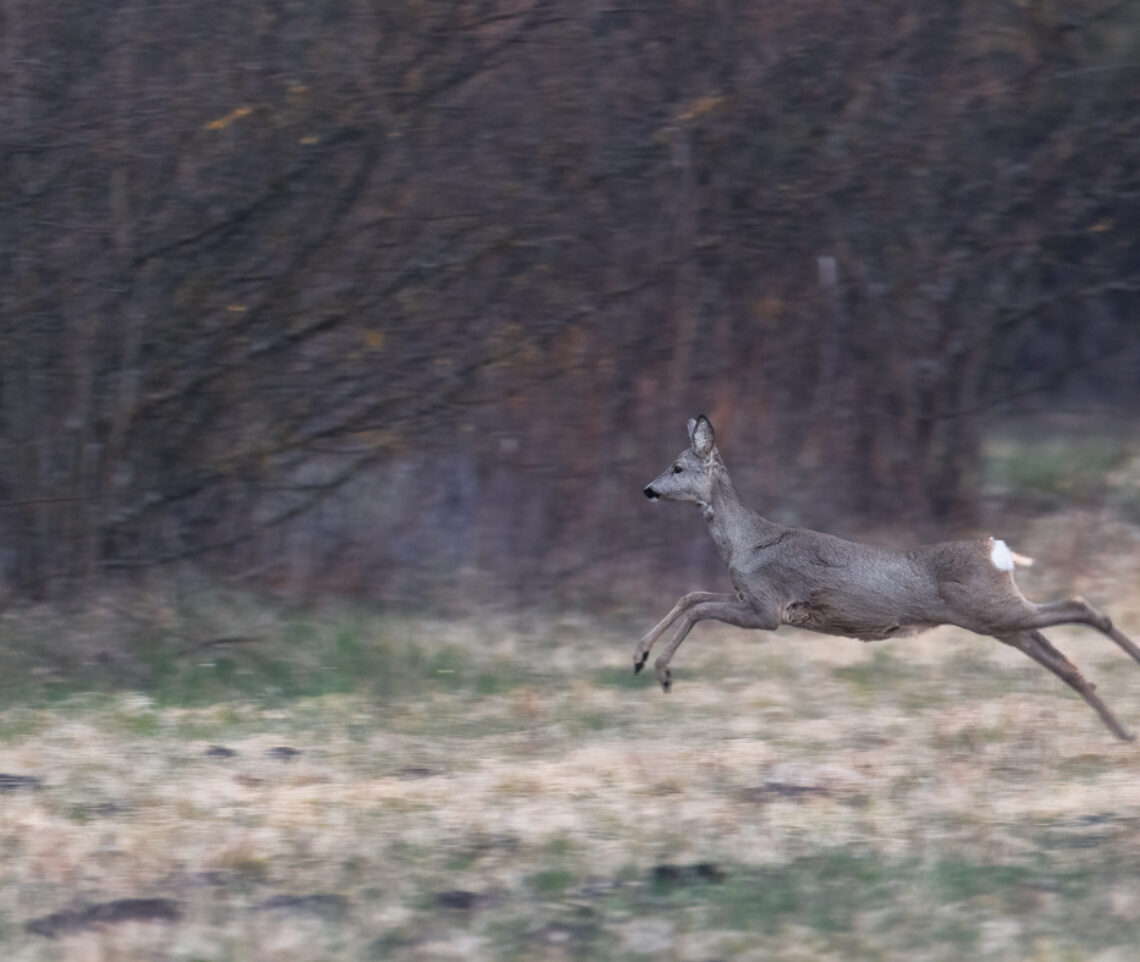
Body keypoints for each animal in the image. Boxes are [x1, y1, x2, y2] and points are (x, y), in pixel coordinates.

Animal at [638, 417, 1140, 738]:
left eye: (677, 468)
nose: (648, 489)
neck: (746, 542)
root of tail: (998, 550)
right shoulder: (748, 599)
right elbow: (691, 596)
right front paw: (641, 657)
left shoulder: (768, 609)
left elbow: (699, 607)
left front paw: (661, 670)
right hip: (999, 621)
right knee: (1064, 662)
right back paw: (1120, 731)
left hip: (992, 609)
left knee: (1080, 607)